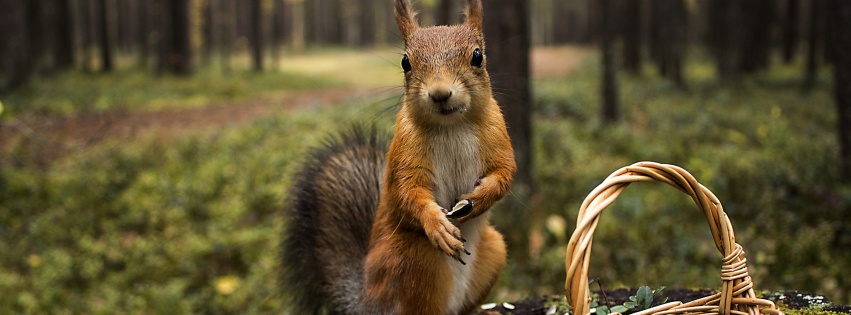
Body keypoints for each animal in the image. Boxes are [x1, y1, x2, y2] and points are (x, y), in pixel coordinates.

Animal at [282, 0, 516, 314]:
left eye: (477, 56)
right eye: (406, 62)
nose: (440, 93)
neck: (452, 125)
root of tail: (366, 299)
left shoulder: (497, 135)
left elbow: (504, 174)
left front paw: (479, 199)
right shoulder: (405, 150)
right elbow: (407, 192)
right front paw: (436, 224)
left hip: (494, 249)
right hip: (413, 259)